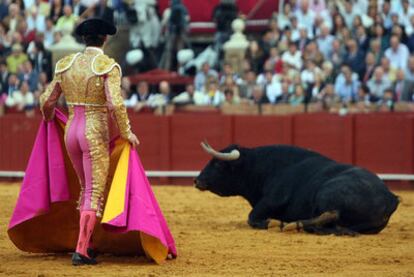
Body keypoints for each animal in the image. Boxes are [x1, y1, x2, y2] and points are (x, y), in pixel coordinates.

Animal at [196, 142, 400, 235]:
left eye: (217, 164)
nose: (197, 180)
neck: (259, 167)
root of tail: (391, 198)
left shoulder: (272, 199)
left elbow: (252, 217)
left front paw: (273, 223)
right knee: (336, 226)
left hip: (327, 192)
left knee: (331, 214)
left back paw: (293, 224)